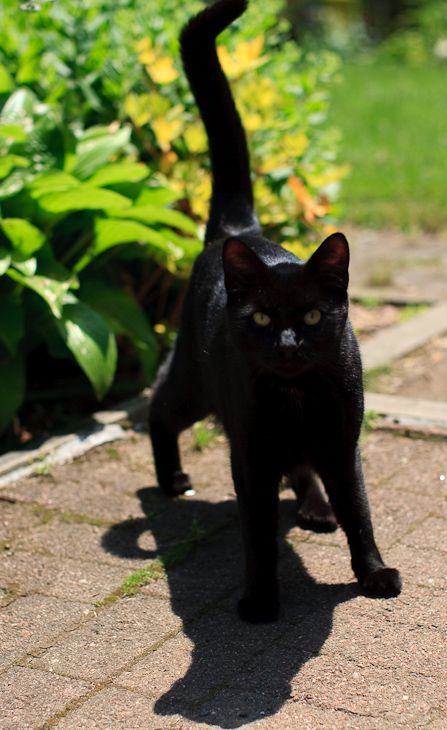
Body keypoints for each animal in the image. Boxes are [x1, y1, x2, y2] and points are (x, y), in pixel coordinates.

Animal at [150, 0, 402, 620]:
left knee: (304, 468)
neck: (297, 395)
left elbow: (360, 514)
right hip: (194, 384)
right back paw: (171, 478)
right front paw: (261, 598)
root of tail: (237, 231)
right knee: (157, 407)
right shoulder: (250, 456)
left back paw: (315, 507)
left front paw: (373, 573)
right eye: (263, 319)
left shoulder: (343, 444)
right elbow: (259, 534)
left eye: (311, 318)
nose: (288, 346)